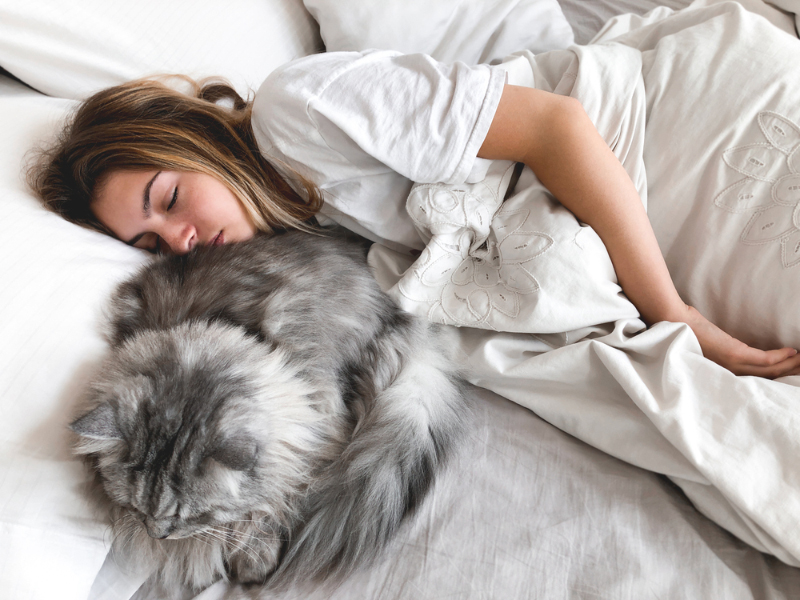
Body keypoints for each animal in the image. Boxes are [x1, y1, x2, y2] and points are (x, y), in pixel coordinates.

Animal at [70, 232, 468, 592]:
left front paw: (253, 557)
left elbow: (275, 505)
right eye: (134, 508)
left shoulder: (317, 428)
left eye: (192, 514)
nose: (158, 535)